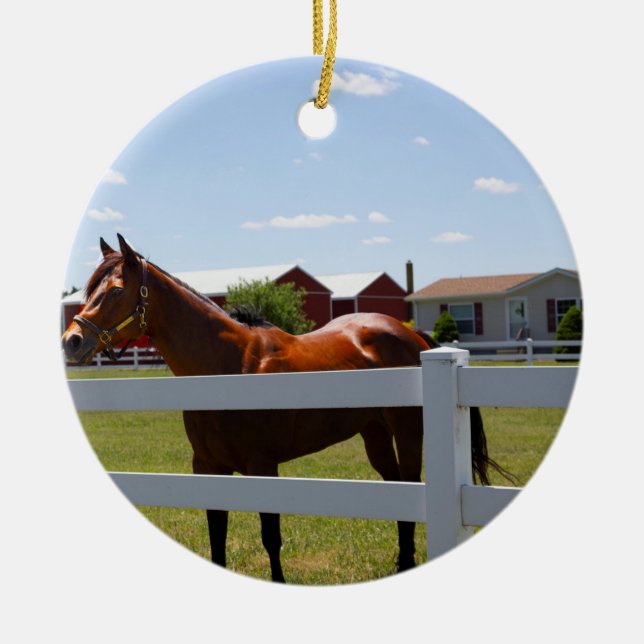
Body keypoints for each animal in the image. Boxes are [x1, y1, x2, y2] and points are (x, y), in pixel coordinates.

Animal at [62, 234, 511, 582]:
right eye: (87, 290)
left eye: (115, 290)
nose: (72, 341)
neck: (228, 368)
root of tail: (411, 334)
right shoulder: (207, 467)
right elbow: (216, 532)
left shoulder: (264, 466)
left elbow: (270, 534)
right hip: (375, 435)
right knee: (397, 488)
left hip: (408, 430)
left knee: (411, 485)